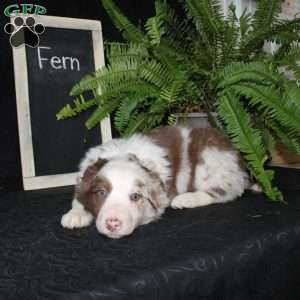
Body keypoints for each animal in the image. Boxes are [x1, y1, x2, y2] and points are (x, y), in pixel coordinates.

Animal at [61, 125, 258, 238]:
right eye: (101, 193)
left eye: (135, 196)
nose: (112, 223)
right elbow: (79, 195)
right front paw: (76, 214)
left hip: (211, 161)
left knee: (224, 192)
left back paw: (186, 199)